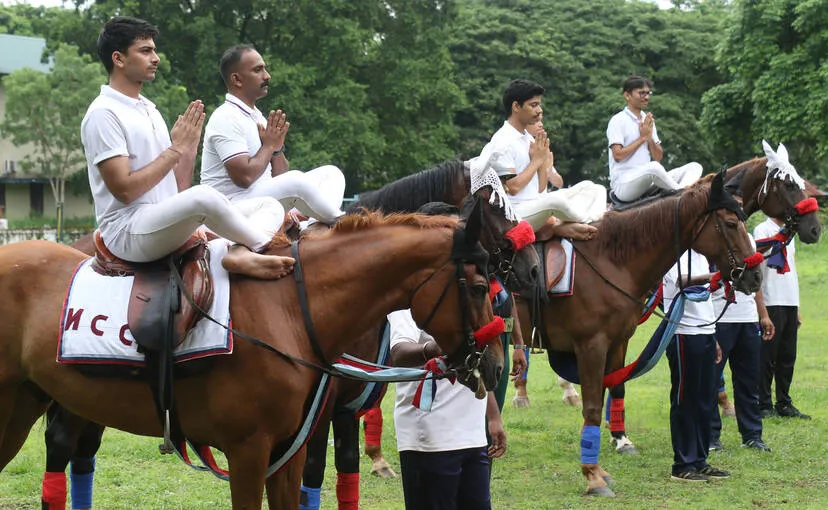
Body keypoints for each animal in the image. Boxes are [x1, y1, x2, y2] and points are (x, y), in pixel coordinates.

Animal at [0, 209, 504, 508]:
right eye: (481, 288)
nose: (497, 364)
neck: (290, 308)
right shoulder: (248, 452)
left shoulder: (288, 451)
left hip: (28, 404)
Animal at [516, 170, 768, 494]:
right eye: (731, 223)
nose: (756, 276)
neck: (608, 260)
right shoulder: (590, 346)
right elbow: (592, 407)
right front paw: (593, 477)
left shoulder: (617, 343)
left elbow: (615, 390)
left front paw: (613, 452)